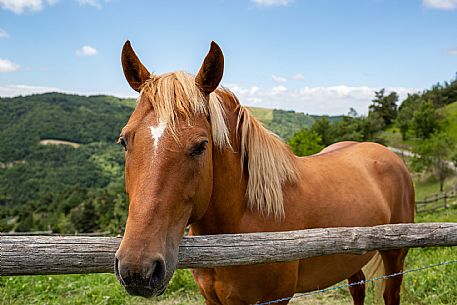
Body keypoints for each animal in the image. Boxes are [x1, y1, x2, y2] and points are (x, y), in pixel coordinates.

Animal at [113, 41, 414, 304]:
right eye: (124, 140)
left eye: (200, 146)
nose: (137, 268)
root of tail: (388, 154)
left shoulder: (274, 299)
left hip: (395, 257)